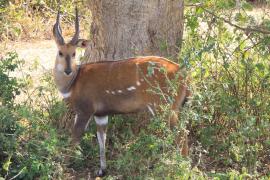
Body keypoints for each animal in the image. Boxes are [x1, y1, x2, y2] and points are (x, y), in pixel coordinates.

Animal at [53, 8, 190, 176]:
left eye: (73, 53)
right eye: (60, 52)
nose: (67, 70)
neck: (73, 82)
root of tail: (184, 75)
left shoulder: (85, 110)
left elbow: (75, 137)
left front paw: (61, 167)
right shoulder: (101, 114)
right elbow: (101, 138)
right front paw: (102, 170)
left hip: (164, 108)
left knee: (181, 133)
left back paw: (183, 167)